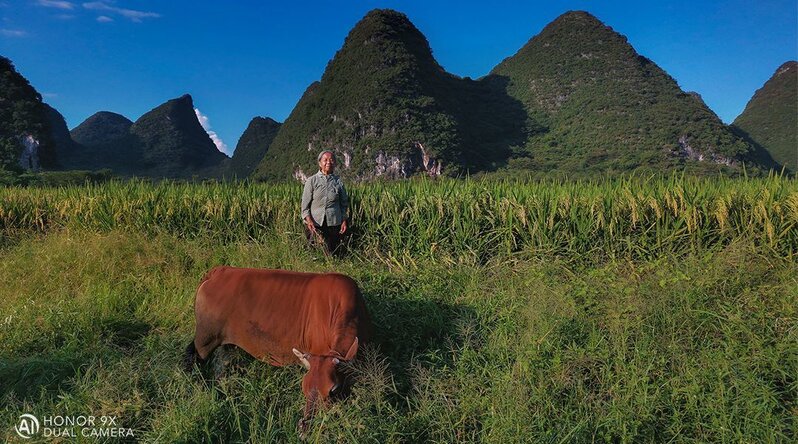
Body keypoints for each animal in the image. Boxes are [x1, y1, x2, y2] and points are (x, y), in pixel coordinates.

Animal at [185, 266, 376, 432]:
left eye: (333, 390)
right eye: (304, 388)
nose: (305, 427)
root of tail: (218, 271)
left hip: (224, 344)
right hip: (204, 339)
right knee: (192, 357)